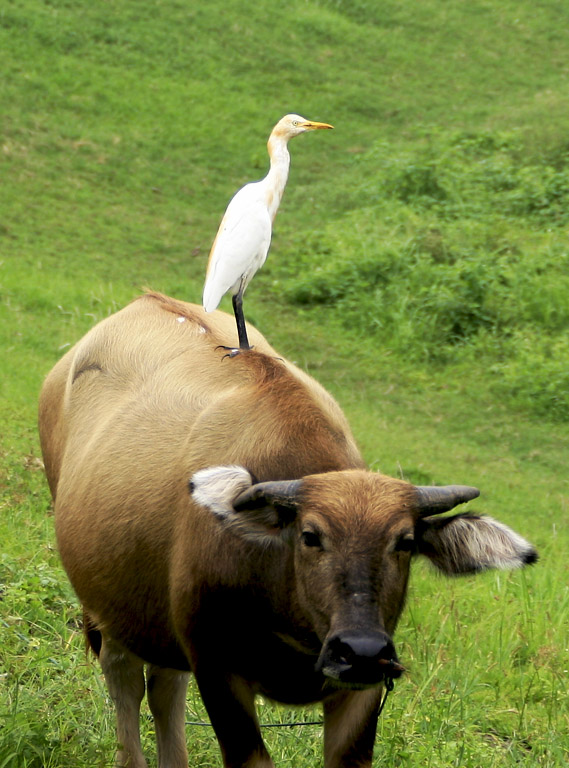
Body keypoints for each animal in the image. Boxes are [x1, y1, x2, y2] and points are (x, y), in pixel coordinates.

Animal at [37, 292, 536, 768]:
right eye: (310, 536)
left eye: (405, 542)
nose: (359, 649)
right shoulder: (216, 666)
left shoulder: (366, 687)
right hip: (106, 605)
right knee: (124, 675)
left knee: (164, 684)